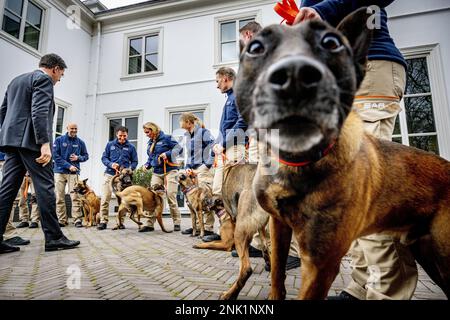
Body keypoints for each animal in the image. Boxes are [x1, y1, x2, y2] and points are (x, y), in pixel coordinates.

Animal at [234, 9, 450, 300]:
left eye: (331, 43)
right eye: (256, 48)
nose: (295, 75)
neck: (298, 163)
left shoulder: (319, 265)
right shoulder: (279, 228)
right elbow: (277, 276)